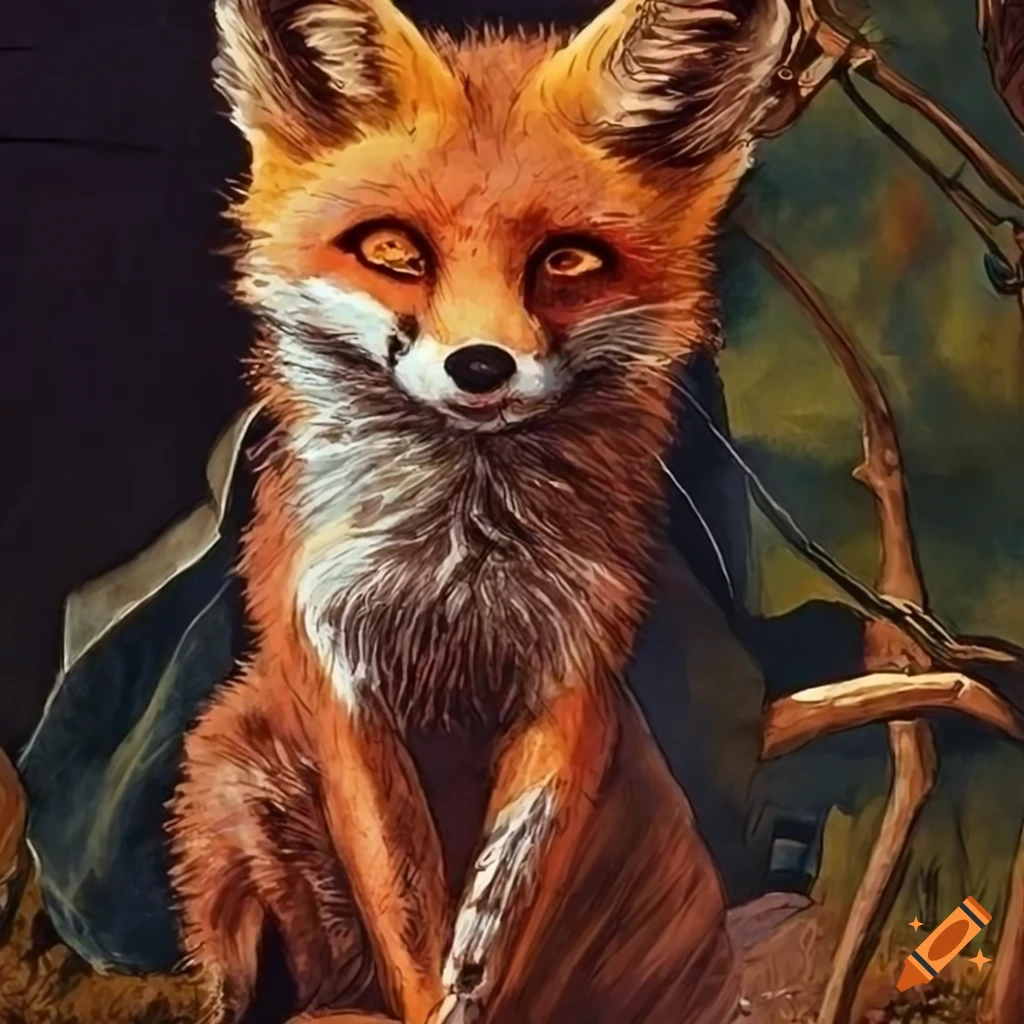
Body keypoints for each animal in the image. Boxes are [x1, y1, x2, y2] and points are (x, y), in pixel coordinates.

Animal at [167, 1, 799, 1023]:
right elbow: (410, 920)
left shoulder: (569, 679)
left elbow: (493, 926)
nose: (480, 366)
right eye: (393, 250)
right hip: (233, 768)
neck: (458, 563)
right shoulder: (346, 684)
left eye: (567, 259)